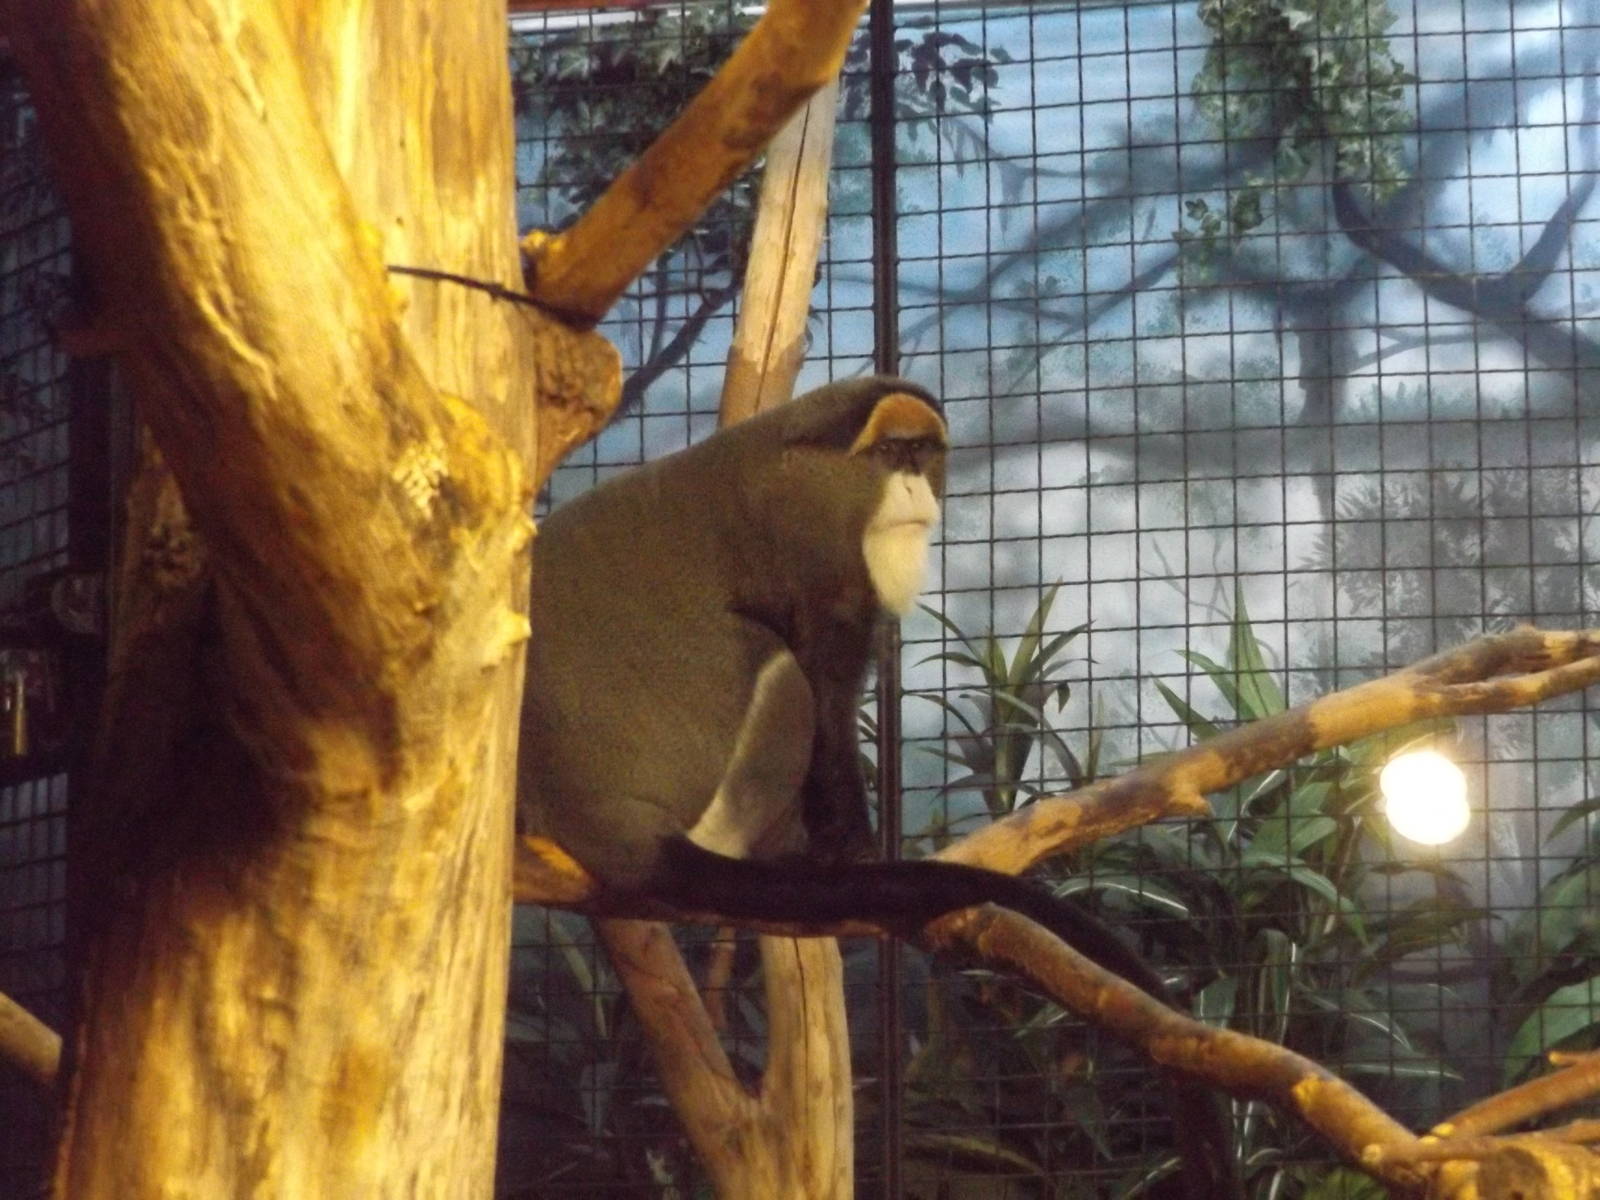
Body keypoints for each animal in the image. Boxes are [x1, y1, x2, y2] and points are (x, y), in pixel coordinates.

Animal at [517, 376, 1237, 1197]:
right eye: (892, 452)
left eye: (923, 453)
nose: (916, 486)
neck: (795, 462)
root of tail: (602, 819)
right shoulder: (820, 571)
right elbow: (826, 698)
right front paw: (853, 857)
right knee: (781, 673)